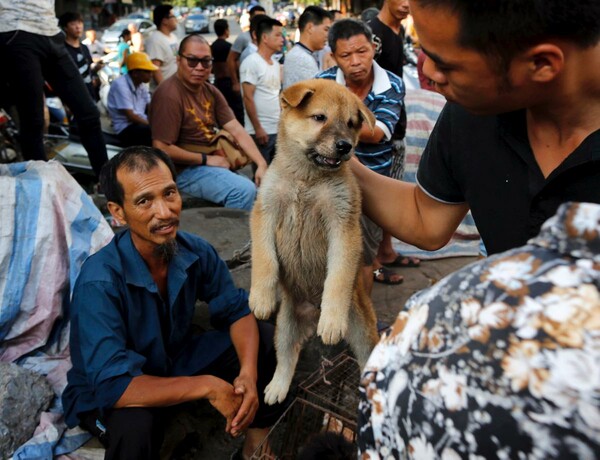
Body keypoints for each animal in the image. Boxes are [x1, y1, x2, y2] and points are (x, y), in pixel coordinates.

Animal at [250, 80, 380, 406]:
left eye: (351, 124)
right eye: (320, 118)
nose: (345, 146)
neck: (306, 180)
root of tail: (310, 317)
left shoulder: (342, 225)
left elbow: (337, 277)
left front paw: (331, 319)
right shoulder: (264, 212)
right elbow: (264, 260)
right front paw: (261, 298)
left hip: (361, 328)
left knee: (366, 359)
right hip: (284, 327)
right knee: (287, 358)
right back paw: (277, 387)